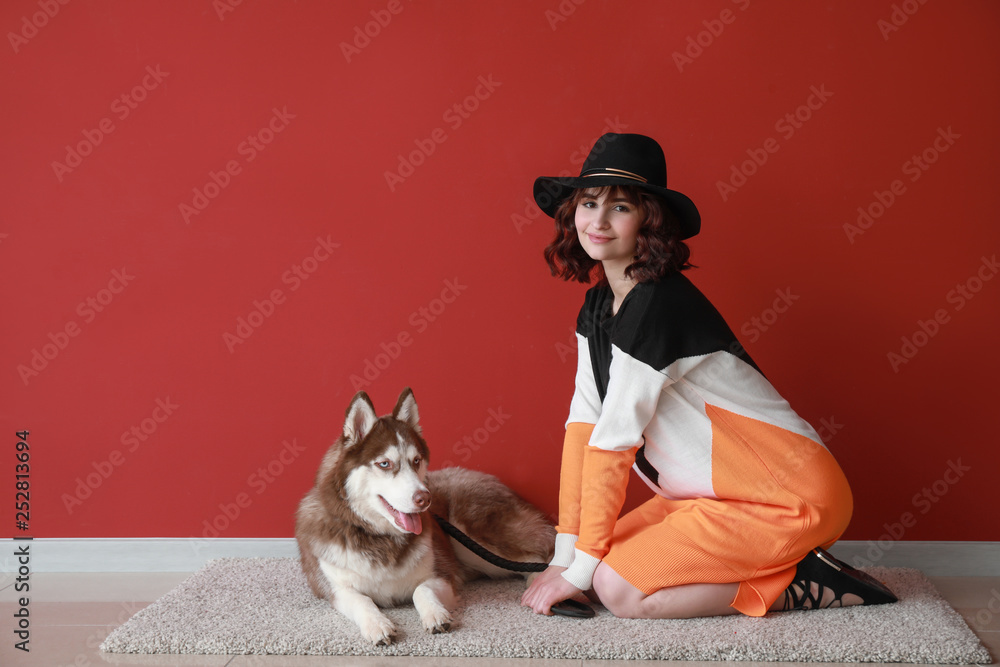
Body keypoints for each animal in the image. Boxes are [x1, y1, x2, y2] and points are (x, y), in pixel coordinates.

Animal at [294, 388, 556, 644]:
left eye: (416, 460)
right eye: (384, 464)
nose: (425, 499)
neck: (380, 538)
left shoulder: (443, 574)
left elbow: (421, 590)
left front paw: (435, 615)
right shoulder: (336, 590)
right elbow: (362, 600)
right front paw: (377, 625)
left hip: (474, 542)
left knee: (538, 556)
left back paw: (540, 583)